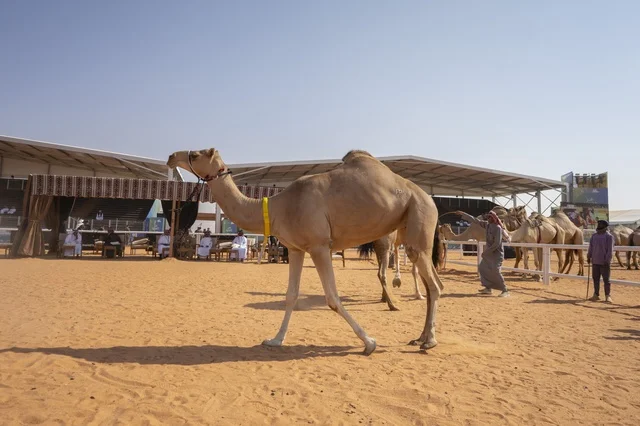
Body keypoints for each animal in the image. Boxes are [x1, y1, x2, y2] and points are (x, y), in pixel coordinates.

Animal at [167, 149, 444, 354]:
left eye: (196, 154)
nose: (171, 156)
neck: (277, 207)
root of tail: (431, 199)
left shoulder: (319, 245)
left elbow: (332, 297)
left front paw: (369, 342)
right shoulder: (296, 248)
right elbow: (291, 295)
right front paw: (275, 340)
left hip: (419, 215)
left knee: (434, 284)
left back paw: (429, 341)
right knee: (431, 281)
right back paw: (420, 337)